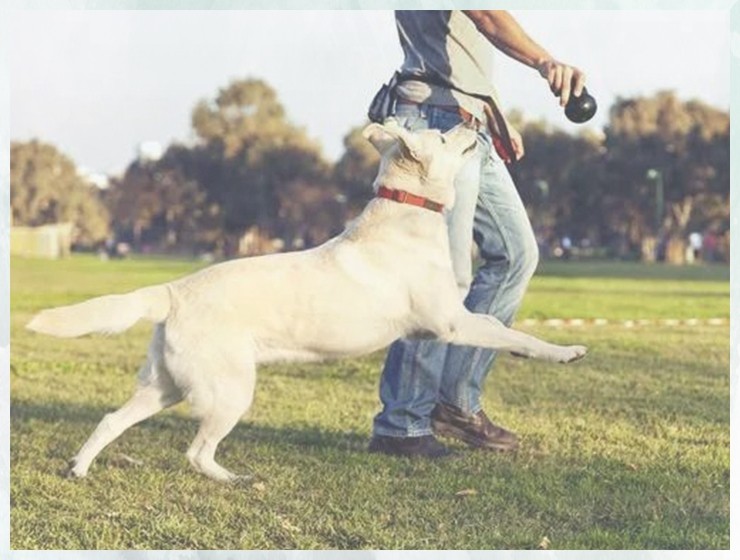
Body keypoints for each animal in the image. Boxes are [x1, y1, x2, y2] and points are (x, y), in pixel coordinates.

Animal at [26, 121, 588, 482]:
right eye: (445, 135)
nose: (474, 122)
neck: (406, 213)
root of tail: (173, 291)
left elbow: (500, 329)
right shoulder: (451, 322)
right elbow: (509, 330)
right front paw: (564, 352)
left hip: (164, 386)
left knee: (110, 420)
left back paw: (79, 468)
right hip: (229, 391)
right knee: (196, 451)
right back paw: (233, 479)